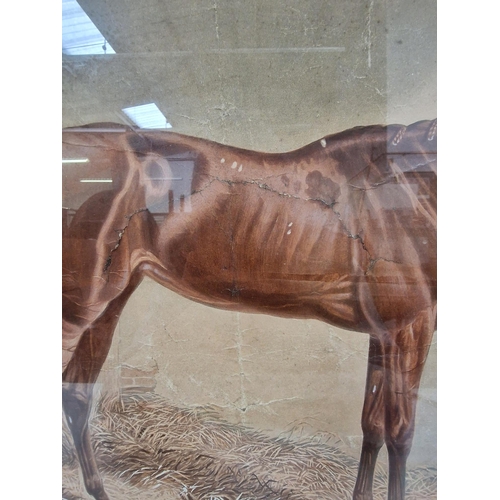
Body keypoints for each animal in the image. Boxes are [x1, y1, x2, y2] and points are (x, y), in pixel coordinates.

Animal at [63, 119, 438, 498]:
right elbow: (400, 433)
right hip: (78, 309)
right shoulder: (410, 327)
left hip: (109, 302)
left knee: (76, 394)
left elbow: (371, 424)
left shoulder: (383, 333)